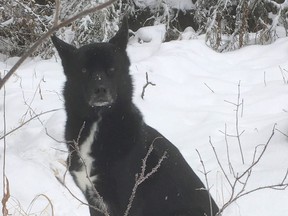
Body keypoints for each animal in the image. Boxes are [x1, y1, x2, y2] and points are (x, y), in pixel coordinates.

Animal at [51, 18, 218, 216]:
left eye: (112, 69)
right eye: (83, 71)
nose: (100, 89)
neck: (98, 123)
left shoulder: (127, 202)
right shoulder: (93, 200)